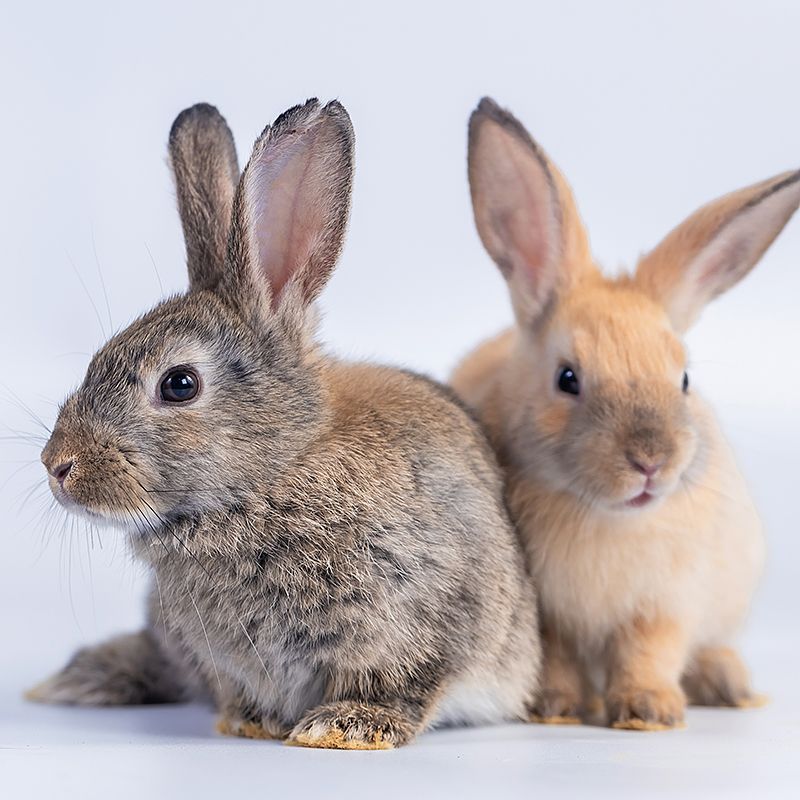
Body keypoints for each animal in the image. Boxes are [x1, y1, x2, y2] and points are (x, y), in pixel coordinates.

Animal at [26, 99, 541, 749]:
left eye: (179, 384)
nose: (57, 465)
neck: (274, 474)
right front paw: (253, 722)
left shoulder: (433, 613)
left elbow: (407, 680)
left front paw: (347, 726)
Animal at [451, 97, 800, 731]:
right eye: (567, 379)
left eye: (684, 378)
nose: (650, 462)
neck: (607, 517)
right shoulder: (551, 616)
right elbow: (559, 659)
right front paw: (555, 709)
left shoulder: (667, 603)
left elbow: (650, 652)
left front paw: (648, 712)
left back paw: (731, 685)